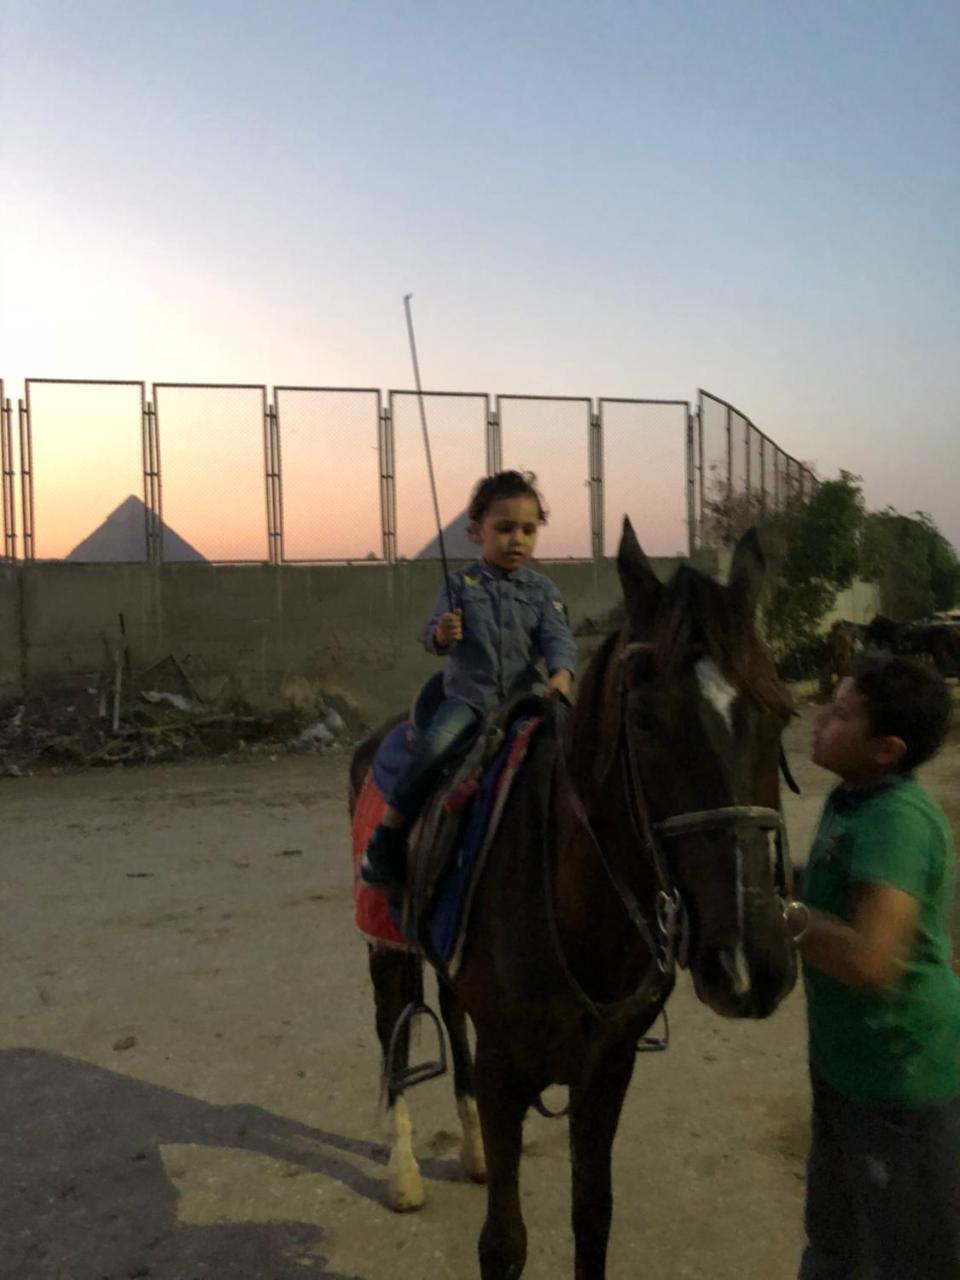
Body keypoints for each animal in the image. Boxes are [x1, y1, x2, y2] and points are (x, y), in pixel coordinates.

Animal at [350, 524, 798, 1274]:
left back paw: (470, 1151)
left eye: (782, 710)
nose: (748, 963)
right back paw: (404, 1172)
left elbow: (593, 1218)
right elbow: (504, 1244)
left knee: (450, 1016)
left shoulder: (608, 1069)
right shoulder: (506, 1074)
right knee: (395, 1032)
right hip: (385, 949)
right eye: (643, 719)